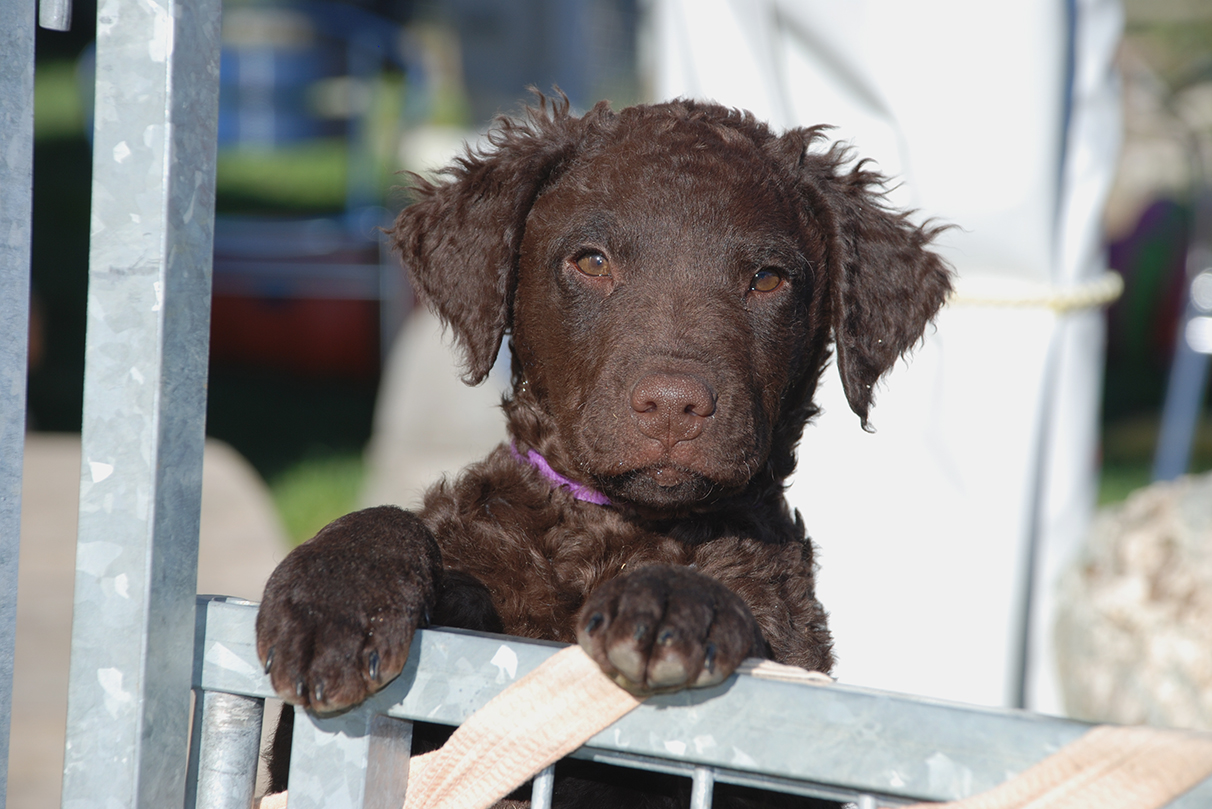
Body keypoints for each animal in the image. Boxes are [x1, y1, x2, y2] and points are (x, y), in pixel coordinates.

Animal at [258, 98, 955, 805]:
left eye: (768, 279)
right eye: (591, 263)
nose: (674, 406)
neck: (612, 536)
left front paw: (670, 597)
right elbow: (387, 520)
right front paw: (335, 599)